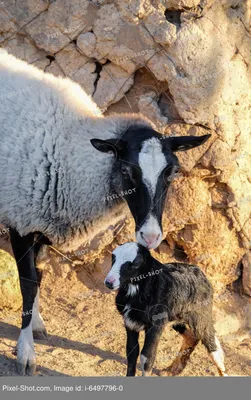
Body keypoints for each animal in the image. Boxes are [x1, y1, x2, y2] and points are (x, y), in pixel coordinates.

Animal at [0, 50, 210, 376]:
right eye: (126, 171)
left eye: (172, 172)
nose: (151, 236)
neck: (66, 149)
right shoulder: (21, 222)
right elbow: (28, 284)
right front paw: (26, 352)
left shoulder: (42, 228)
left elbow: (39, 276)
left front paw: (36, 324)